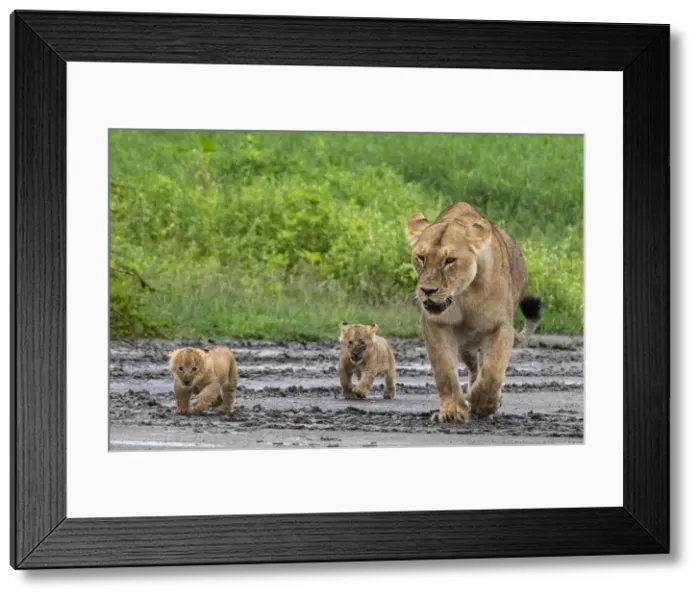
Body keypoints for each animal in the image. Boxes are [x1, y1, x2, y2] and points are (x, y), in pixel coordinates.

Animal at [405, 201, 542, 424]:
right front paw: (452, 411)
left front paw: (484, 404)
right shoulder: (435, 325)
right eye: (421, 258)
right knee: (474, 368)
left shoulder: (501, 327)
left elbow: (493, 372)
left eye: (449, 260)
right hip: (465, 347)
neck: (462, 296)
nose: (427, 290)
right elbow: (445, 371)